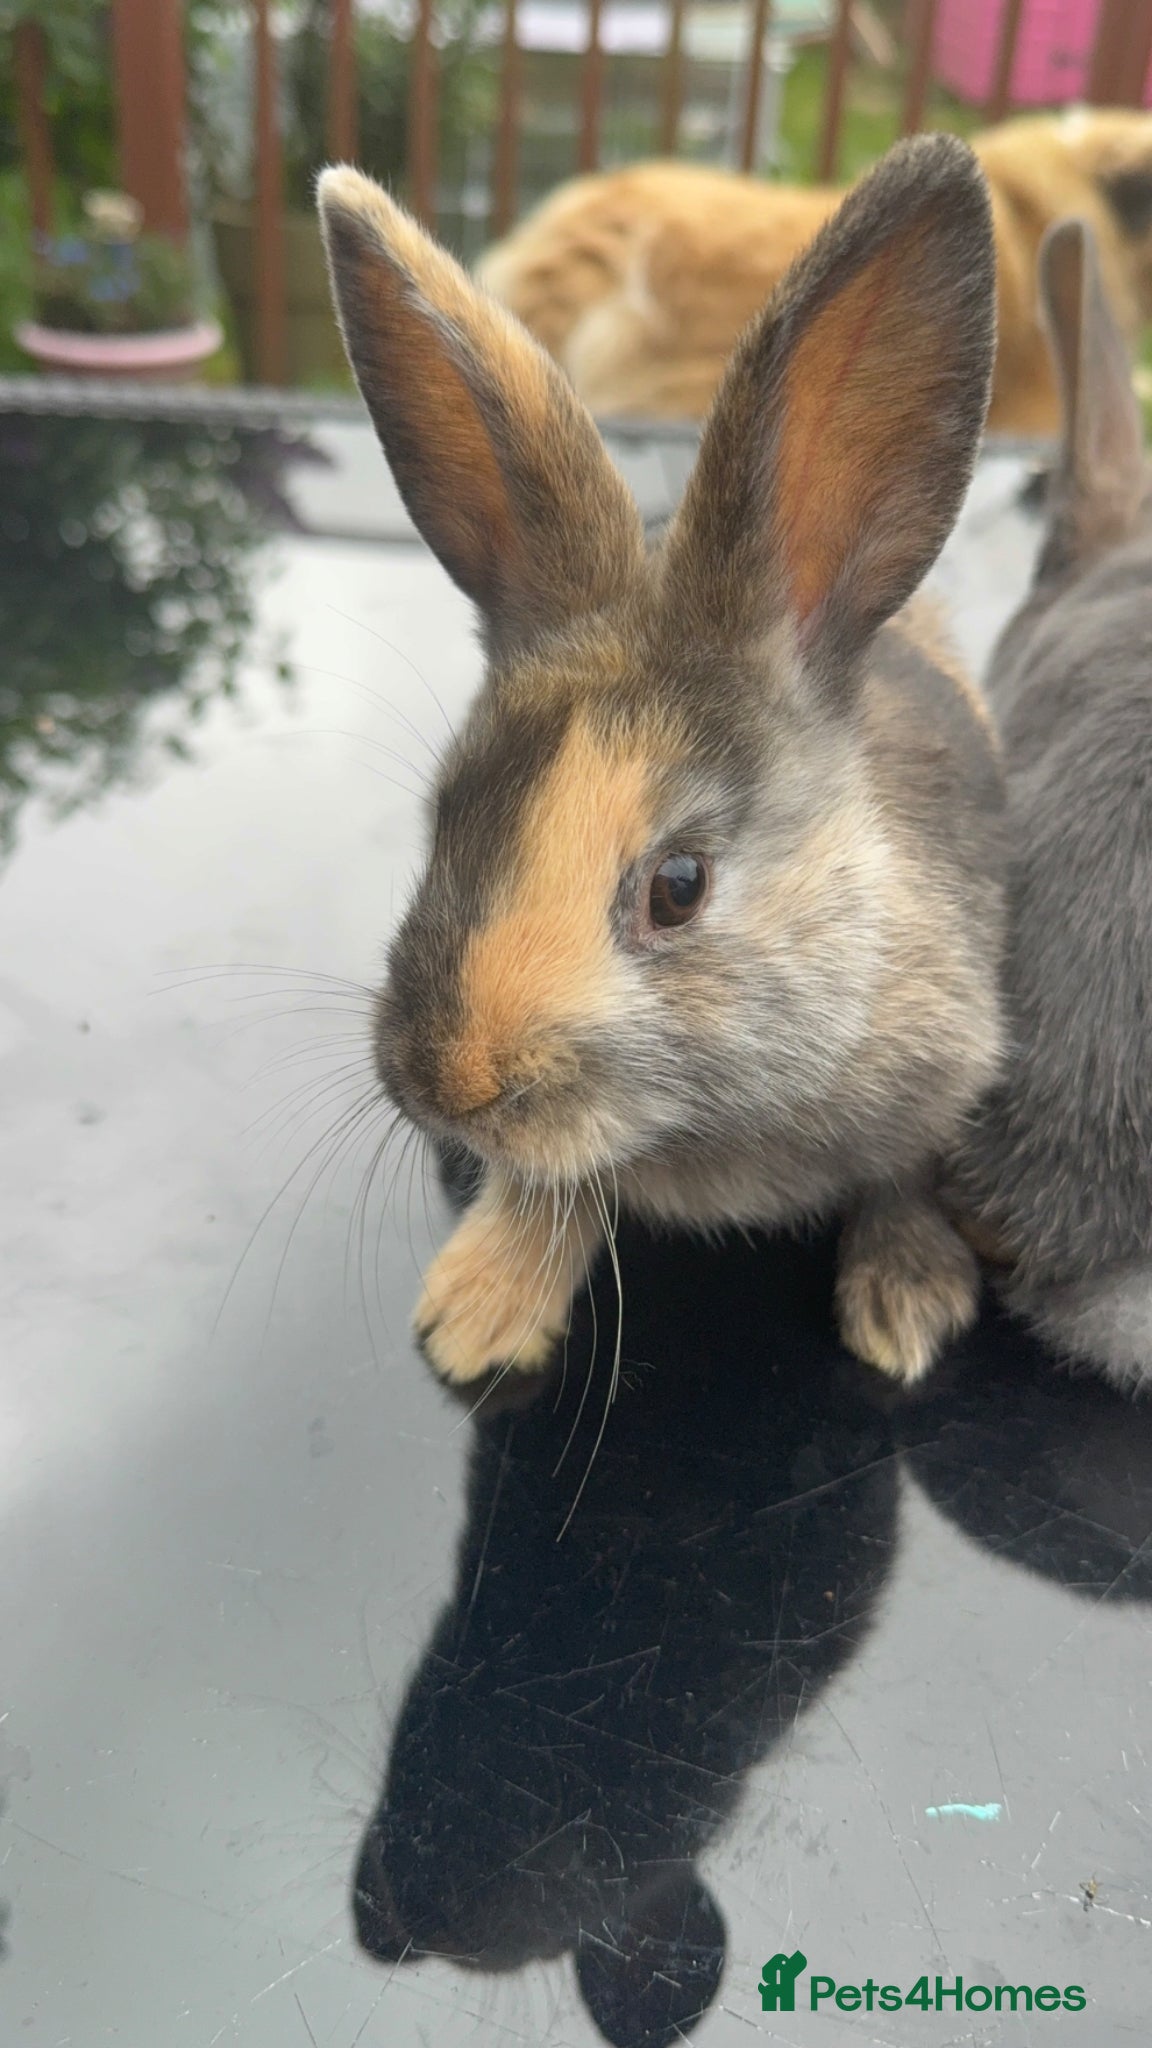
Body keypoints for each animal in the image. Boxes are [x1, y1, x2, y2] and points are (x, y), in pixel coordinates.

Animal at [317, 133, 1006, 1395]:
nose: (451, 1084)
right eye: (445, 817)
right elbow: (557, 1188)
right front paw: (477, 1309)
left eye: (678, 887)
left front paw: (907, 1305)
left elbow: (901, 1175)